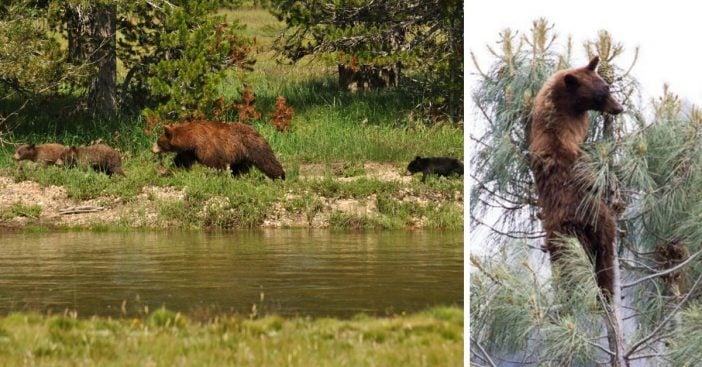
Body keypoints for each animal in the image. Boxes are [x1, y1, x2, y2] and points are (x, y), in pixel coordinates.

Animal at [151, 121, 286, 180]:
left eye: (158, 141)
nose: (152, 149)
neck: (191, 139)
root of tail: (257, 131)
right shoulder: (190, 151)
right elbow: (181, 162)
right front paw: (166, 172)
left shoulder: (205, 146)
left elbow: (215, 162)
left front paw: (219, 175)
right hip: (242, 155)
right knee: (241, 167)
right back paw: (238, 176)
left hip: (253, 146)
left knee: (267, 160)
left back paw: (280, 176)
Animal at [532, 56, 624, 300]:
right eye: (604, 91)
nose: (619, 108)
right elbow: (591, 171)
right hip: (593, 215)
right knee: (604, 250)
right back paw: (605, 289)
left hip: (557, 237)